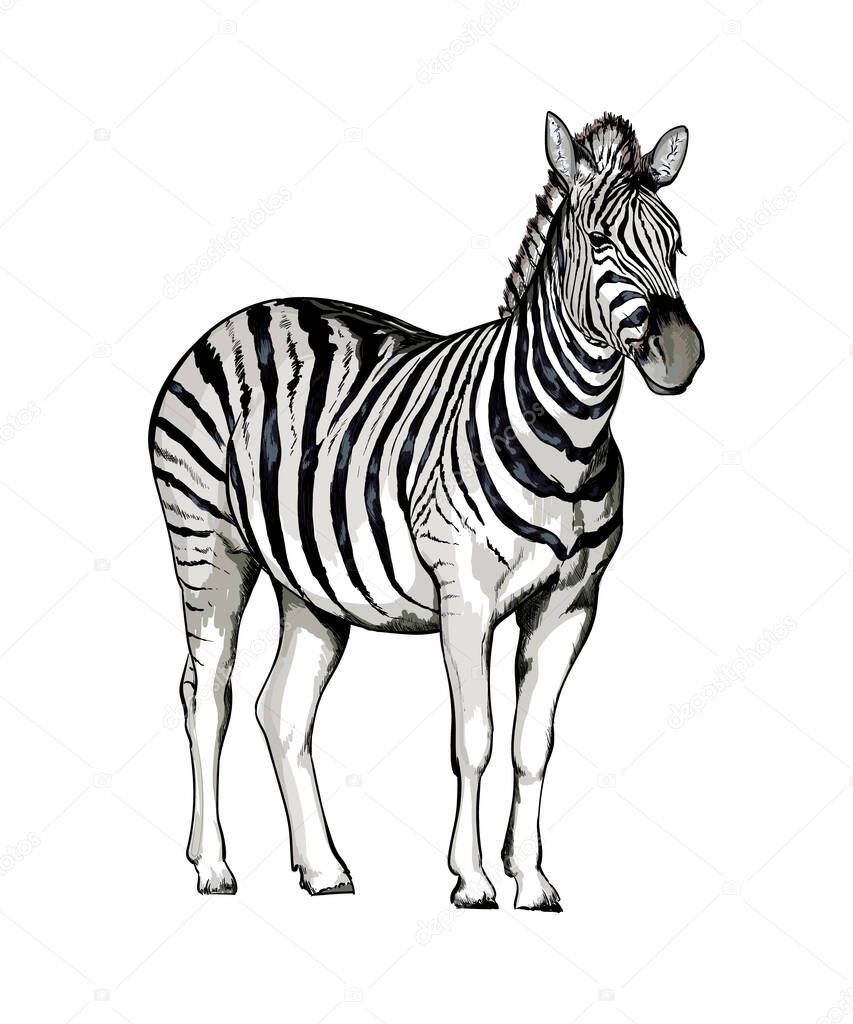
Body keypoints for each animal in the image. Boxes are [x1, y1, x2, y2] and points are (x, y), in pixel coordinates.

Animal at [149, 111, 703, 911]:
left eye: (677, 242)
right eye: (599, 241)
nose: (681, 355)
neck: (571, 436)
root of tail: (244, 314)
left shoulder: (571, 603)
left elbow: (533, 746)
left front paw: (532, 880)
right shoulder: (464, 594)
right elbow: (474, 739)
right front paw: (471, 880)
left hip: (307, 584)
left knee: (281, 708)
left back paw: (322, 869)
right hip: (207, 541)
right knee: (206, 694)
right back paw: (213, 866)